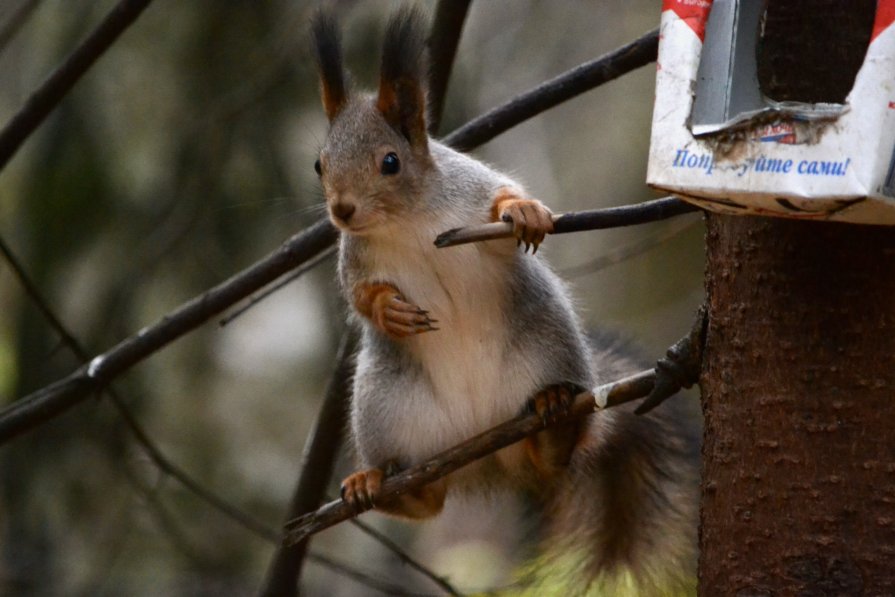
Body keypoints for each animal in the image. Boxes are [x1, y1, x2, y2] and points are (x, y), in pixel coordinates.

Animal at [312, 7, 704, 592]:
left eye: (390, 162)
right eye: (319, 164)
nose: (342, 210)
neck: (404, 219)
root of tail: (485, 453)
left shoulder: (470, 193)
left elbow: (500, 200)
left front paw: (524, 212)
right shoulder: (355, 258)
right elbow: (359, 296)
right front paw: (387, 311)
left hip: (547, 351)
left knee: (553, 460)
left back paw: (556, 419)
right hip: (386, 408)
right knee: (429, 501)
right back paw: (378, 484)